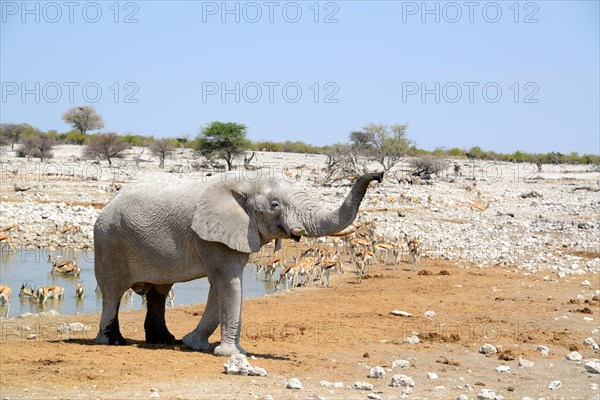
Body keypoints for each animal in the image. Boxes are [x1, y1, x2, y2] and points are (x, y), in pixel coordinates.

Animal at [94, 170, 384, 356]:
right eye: (275, 205)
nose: (378, 175)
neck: (245, 182)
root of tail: (108, 204)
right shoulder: (214, 235)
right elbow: (228, 282)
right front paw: (232, 353)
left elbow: (218, 287)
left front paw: (194, 344)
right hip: (109, 241)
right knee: (113, 292)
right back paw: (111, 341)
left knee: (159, 292)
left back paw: (164, 340)